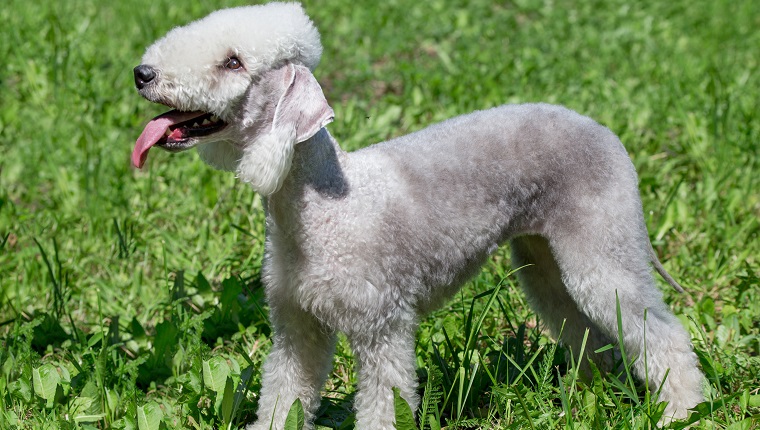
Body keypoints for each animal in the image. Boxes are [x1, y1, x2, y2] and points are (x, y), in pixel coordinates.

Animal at [132, 2, 708, 426]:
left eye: (233, 62)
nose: (142, 73)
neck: (324, 208)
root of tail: (605, 131)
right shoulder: (297, 329)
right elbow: (284, 397)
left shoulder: (382, 325)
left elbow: (385, 404)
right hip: (547, 263)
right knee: (592, 335)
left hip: (602, 252)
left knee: (664, 335)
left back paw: (681, 412)